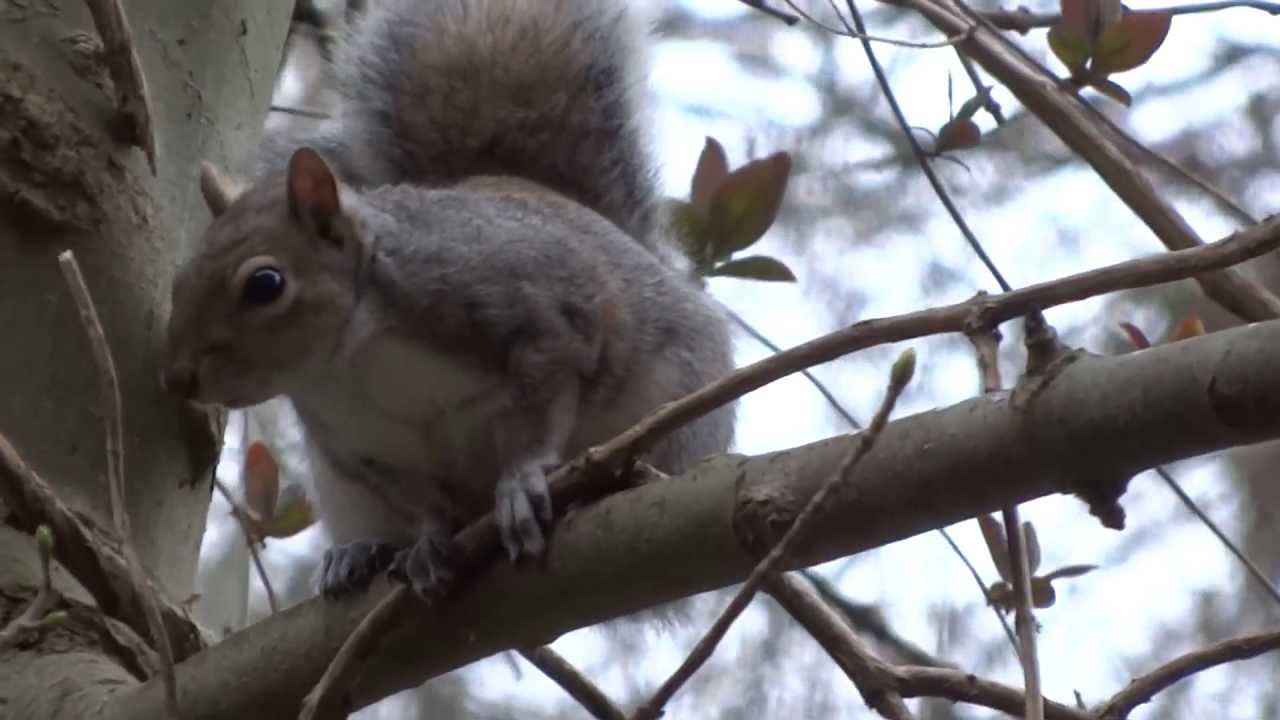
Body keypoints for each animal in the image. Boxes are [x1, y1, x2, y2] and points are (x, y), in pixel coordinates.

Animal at [162, 0, 737, 601]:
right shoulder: (368, 451)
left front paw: (519, 485)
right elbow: (424, 505)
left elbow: (541, 414)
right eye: (180, 278)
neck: (354, 362)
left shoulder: (540, 323)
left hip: (676, 409)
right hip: (342, 489)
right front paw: (429, 543)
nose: (177, 377)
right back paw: (356, 554)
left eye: (265, 285)